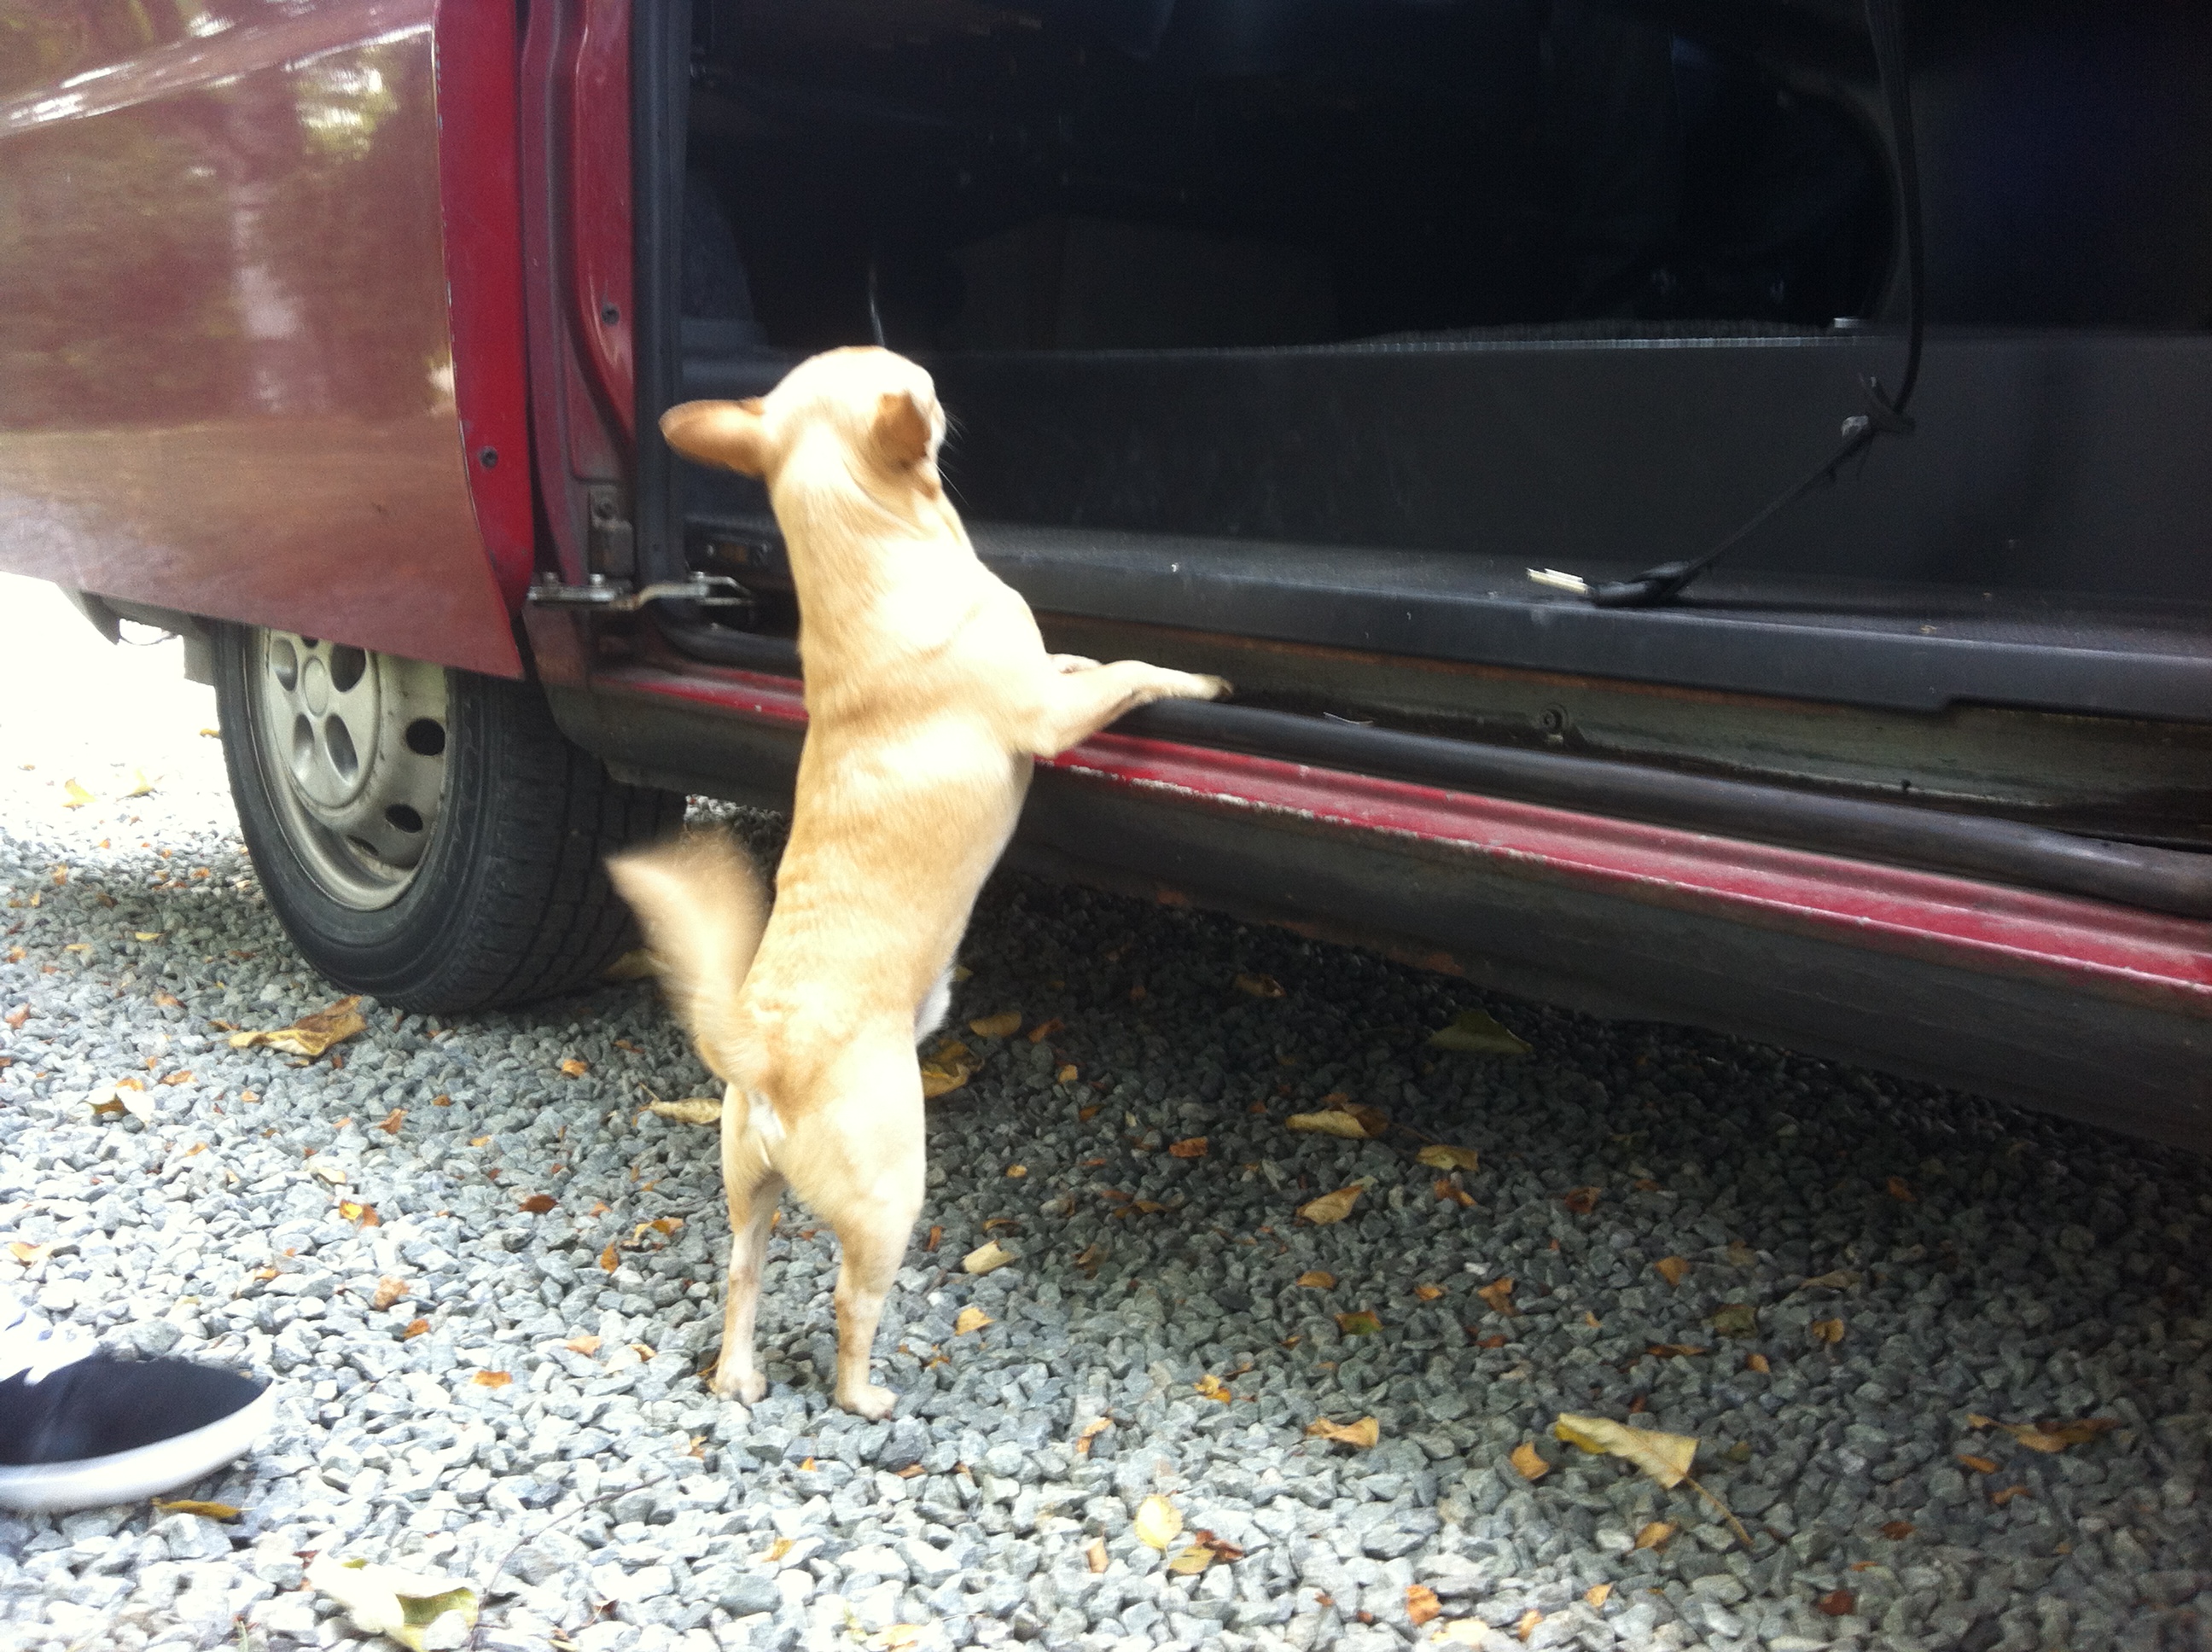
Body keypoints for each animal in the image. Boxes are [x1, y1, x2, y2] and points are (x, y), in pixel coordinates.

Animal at [606, 342, 1230, 1415]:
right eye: (915, 384)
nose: (937, 378)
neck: (873, 551)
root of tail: (771, 1052)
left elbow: (1080, 657)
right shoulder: (1051, 718)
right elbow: (1128, 670)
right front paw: (1194, 680)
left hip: (749, 1189)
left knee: (743, 1272)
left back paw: (739, 1374)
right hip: (894, 1193)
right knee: (851, 1303)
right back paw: (865, 1395)